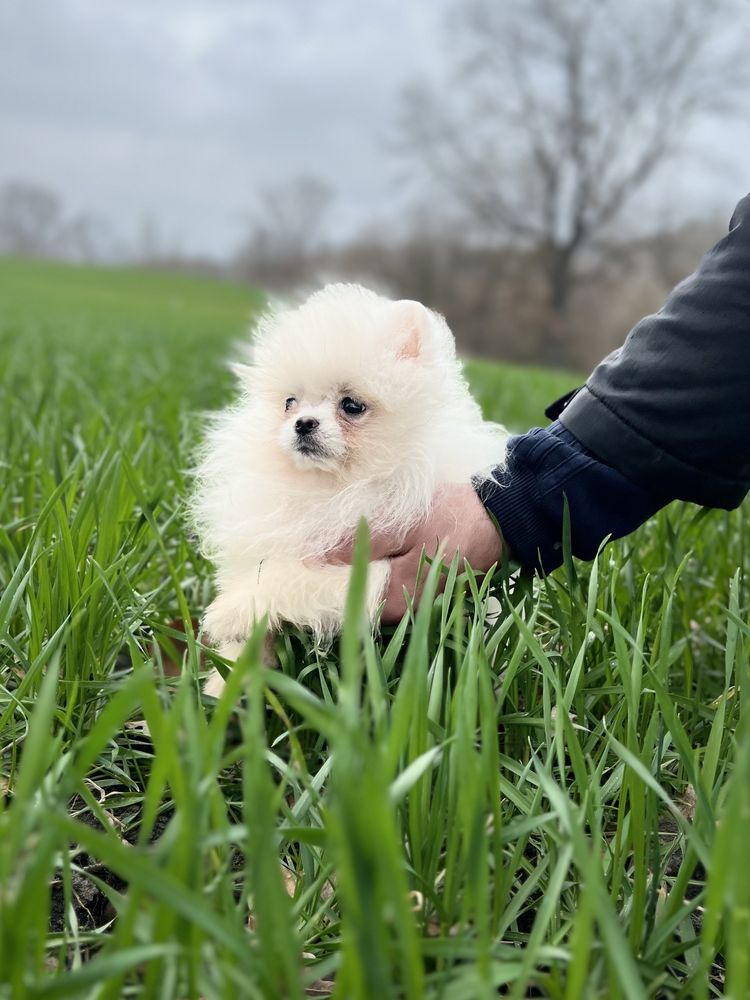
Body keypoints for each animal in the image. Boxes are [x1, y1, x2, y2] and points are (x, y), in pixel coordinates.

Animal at [192, 280, 512, 688]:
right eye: (289, 403)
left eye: (352, 405)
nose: (303, 423)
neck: (339, 486)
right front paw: (225, 684)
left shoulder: (370, 565)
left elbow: (290, 578)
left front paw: (230, 611)